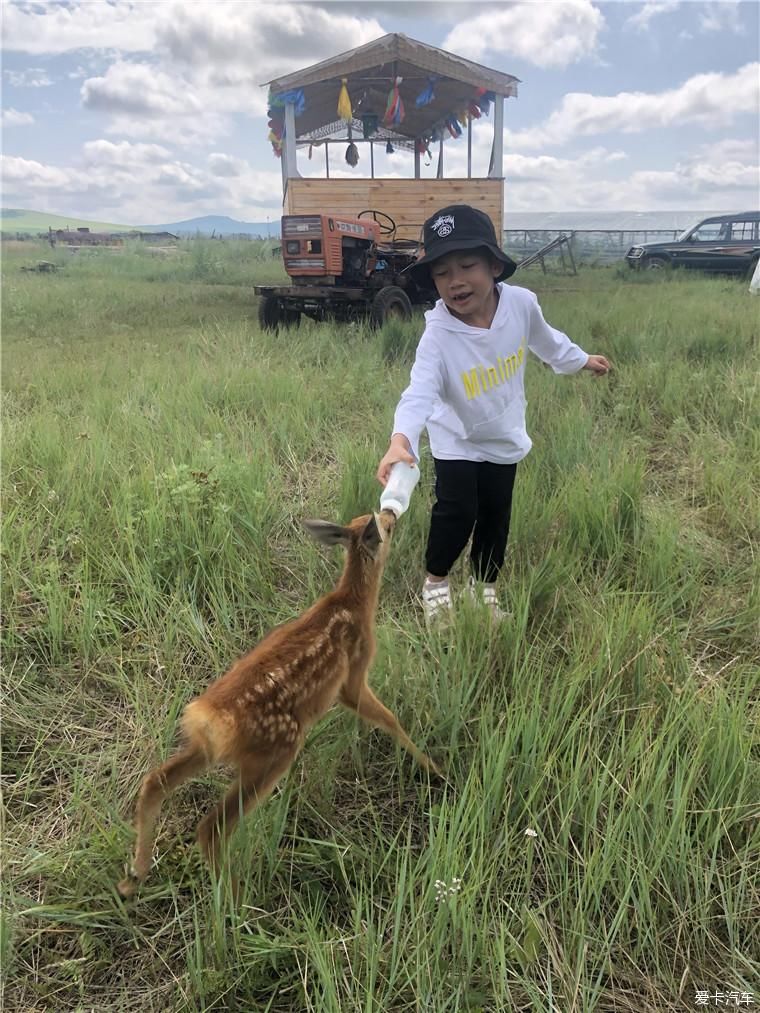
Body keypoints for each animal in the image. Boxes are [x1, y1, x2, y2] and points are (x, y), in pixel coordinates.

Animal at [118, 510, 439, 899]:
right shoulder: (352, 672)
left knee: (156, 781)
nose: (392, 513)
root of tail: (211, 719)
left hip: (209, 749)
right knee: (212, 827)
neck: (353, 602)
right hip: (275, 750)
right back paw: (239, 899)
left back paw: (133, 876)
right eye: (385, 526)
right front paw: (432, 767)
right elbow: (388, 717)